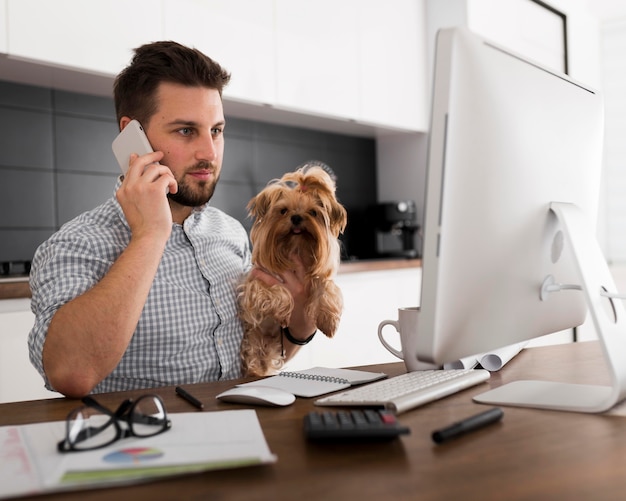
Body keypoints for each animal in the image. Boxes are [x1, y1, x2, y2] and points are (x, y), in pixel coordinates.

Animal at [238, 162, 346, 376]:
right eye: (283, 211)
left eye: (313, 212)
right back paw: (254, 372)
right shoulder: (256, 285)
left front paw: (329, 320)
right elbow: (275, 292)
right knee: (253, 354)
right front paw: (281, 311)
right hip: (252, 338)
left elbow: (328, 288)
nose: (296, 218)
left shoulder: (319, 277)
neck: (295, 248)